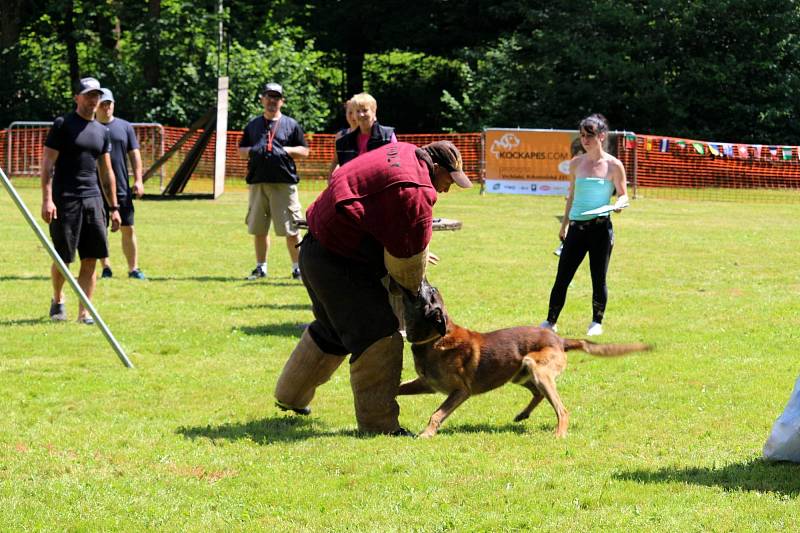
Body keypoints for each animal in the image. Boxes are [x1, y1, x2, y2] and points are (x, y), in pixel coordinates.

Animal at [398, 282, 648, 436]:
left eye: (430, 291)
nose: (422, 280)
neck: (435, 337)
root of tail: (560, 340)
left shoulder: (460, 391)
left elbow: (437, 414)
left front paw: (426, 434)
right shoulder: (425, 384)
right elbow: (398, 388)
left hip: (537, 368)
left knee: (562, 409)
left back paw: (559, 434)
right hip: (521, 373)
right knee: (538, 394)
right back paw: (523, 415)